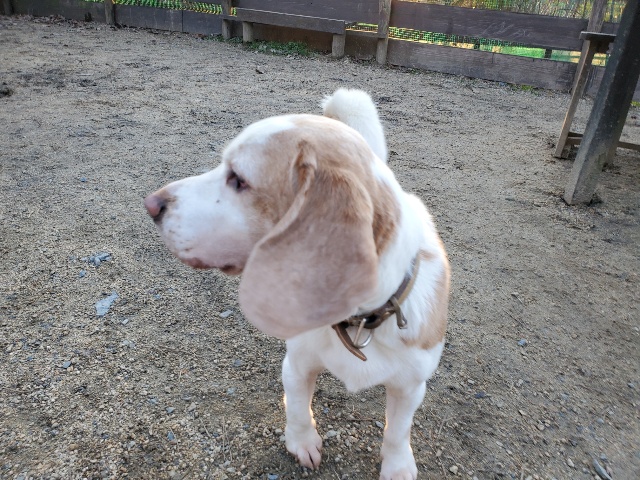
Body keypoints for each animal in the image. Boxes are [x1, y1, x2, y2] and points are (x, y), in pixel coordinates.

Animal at [144, 89, 449, 480]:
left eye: (238, 179)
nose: (152, 204)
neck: (358, 320)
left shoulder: (411, 386)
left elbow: (397, 430)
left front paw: (397, 467)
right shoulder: (297, 364)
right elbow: (298, 408)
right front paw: (302, 442)